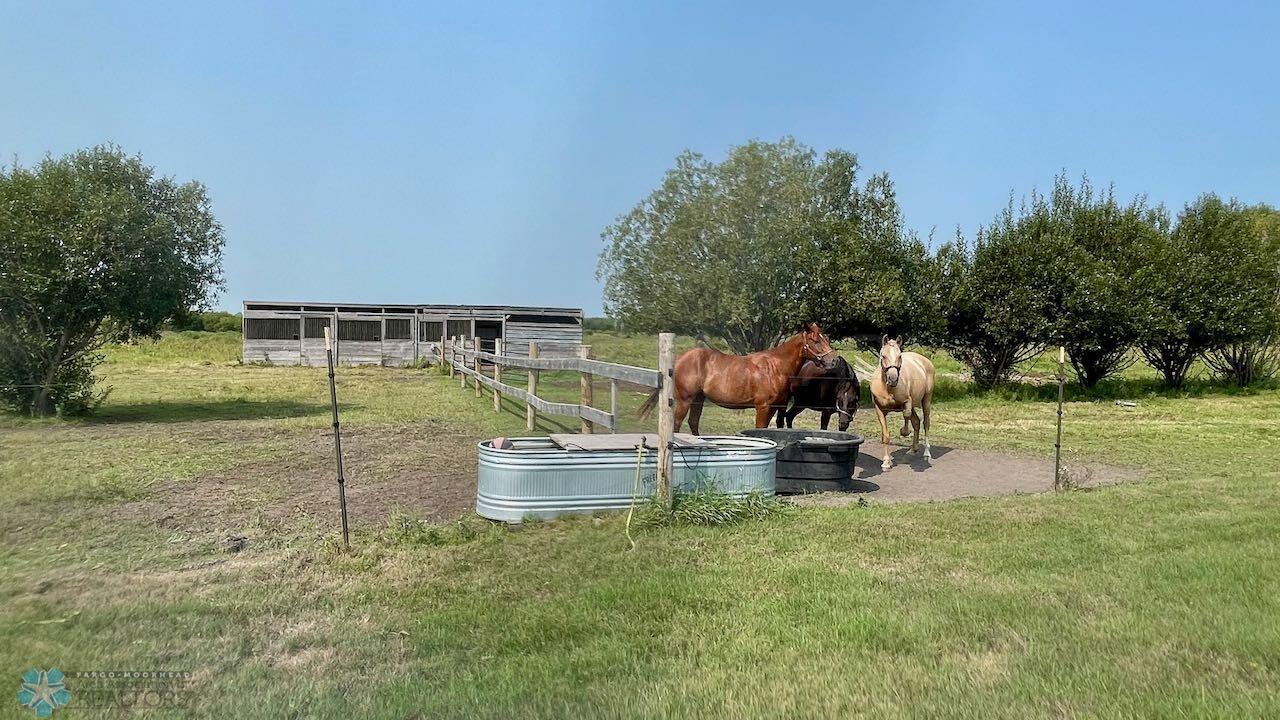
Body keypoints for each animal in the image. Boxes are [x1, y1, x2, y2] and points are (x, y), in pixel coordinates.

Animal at [639, 322, 837, 434]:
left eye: (825, 339)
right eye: (816, 341)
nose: (833, 360)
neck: (775, 367)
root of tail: (678, 358)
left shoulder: (775, 408)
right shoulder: (763, 407)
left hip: (698, 399)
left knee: (693, 423)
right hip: (684, 400)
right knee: (677, 425)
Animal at [869, 335, 935, 470]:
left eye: (899, 356)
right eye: (883, 355)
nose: (893, 379)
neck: (888, 389)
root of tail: (924, 360)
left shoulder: (907, 402)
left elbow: (906, 415)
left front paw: (904, 431)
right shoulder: (879, 410)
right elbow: (885, 435)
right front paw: (886, 462)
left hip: (926, 399)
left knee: (925, 423)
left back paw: (926, 453)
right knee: (916, 421)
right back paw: (912, 450)